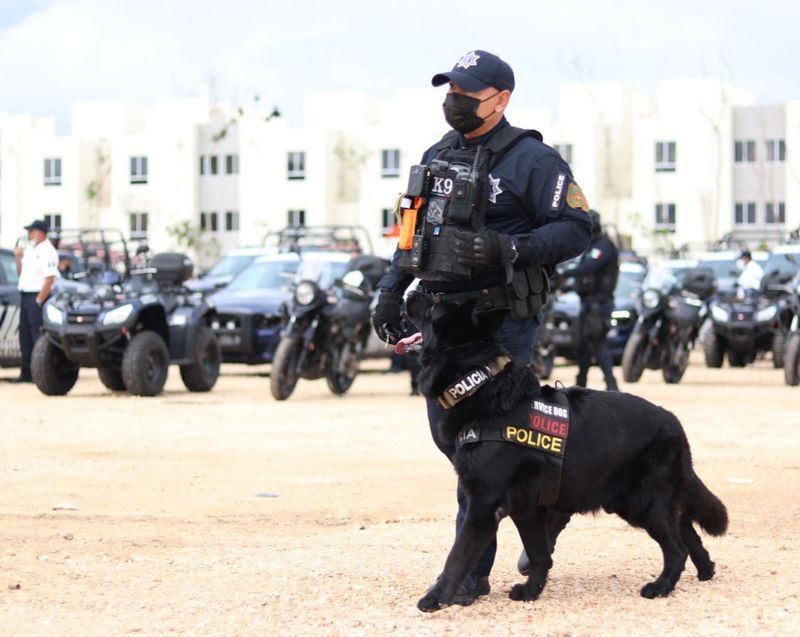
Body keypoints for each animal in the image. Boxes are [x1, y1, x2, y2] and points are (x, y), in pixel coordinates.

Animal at [410, 296, 728, 608]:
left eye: (432, 305)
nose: (410, 293)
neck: (479, 384)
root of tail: (674, 423)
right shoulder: (526, 508)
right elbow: (539, 554)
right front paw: (531, 591)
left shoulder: (484, 505)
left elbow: (458, 555)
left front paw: (436, 598)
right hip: (642, 501)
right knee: (687, 530)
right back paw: (705, 570)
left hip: (641, 503)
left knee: (677, 549)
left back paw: (661, 587)